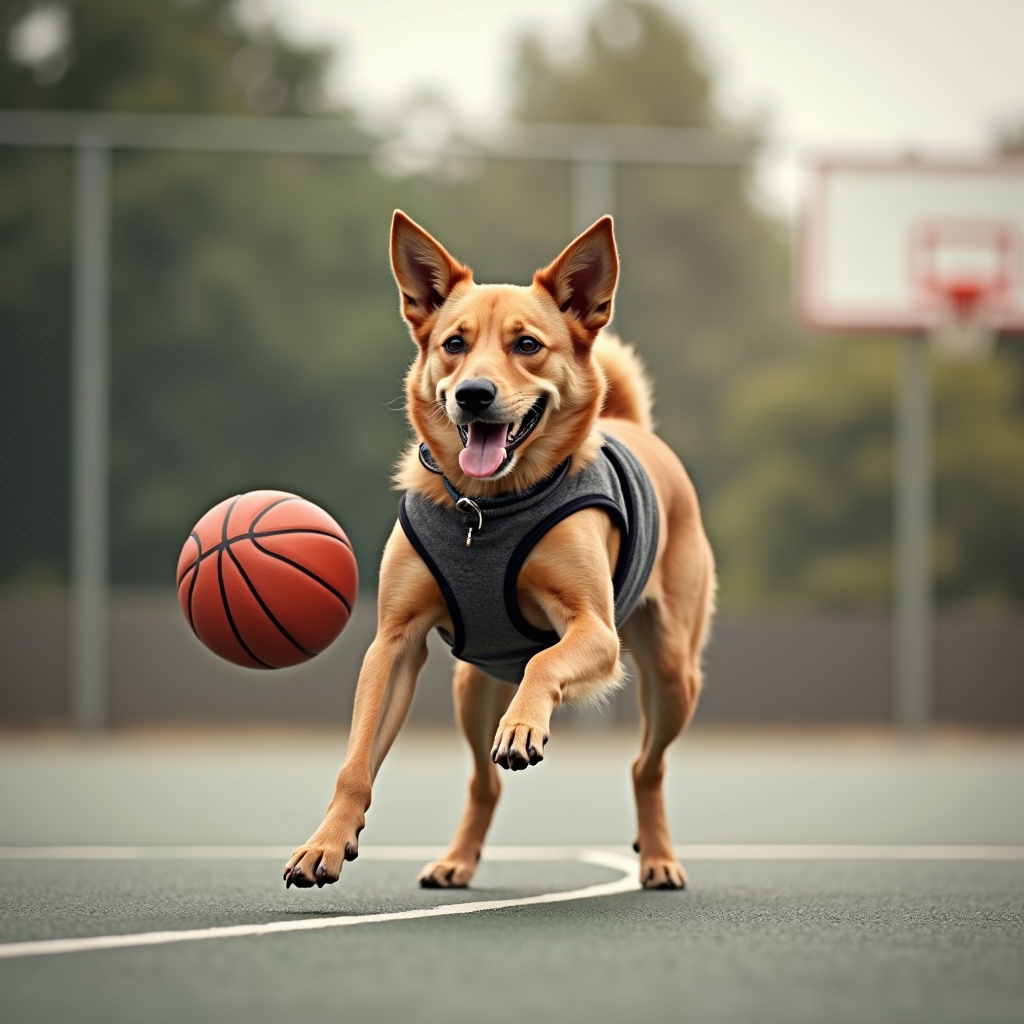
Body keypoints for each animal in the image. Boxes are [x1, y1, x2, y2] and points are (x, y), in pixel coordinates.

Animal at [284, 211, 716, 892]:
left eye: (528, 345)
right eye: (454, 344)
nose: (474, 394)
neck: (486, 509)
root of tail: (631, 426)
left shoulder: (596, 631)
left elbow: (545, 663)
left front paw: (522, 725)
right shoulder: (393, 644)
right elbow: (355, 763)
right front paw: (325, 842)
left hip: (674, 673)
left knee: (646, 766)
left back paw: (658, 857)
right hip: (472, 686)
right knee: (482, 784)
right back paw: (458, 860)